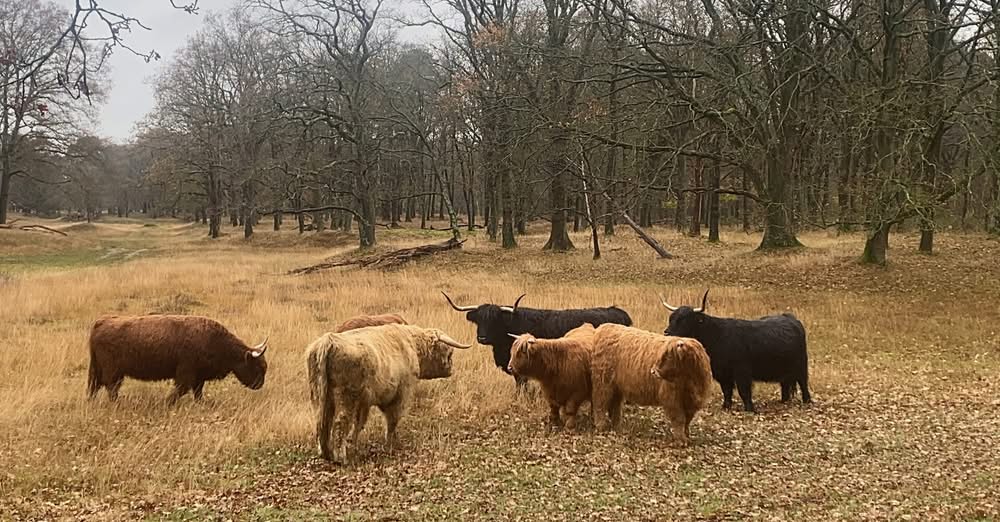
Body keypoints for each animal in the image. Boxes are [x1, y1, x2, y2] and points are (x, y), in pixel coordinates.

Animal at [304, 320, 472, 464]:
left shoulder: (364, 402)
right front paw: (391, 444)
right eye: (449, 352)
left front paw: (354, 445)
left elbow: (359, 423)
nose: (451, 369)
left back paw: (325, 452)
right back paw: (341, 458)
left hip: (319, 397)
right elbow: (392, 420)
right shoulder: (401, 394)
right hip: (346, 397)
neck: (412, 346)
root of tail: (329, 340)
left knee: (321, 422)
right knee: (340, 422)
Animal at [588, 320, 716, 442]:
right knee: (600, 403)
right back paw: (601, 426)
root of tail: (604, 327)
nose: (653, 371)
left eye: (669, 356)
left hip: (616, 386)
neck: (691, 381)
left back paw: (617, 426)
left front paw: (686, 436)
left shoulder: (693, 401)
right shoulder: (672, 398)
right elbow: (679, 419)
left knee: (615, 405)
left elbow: (687, 420)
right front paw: (681, 439)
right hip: (603, 382)